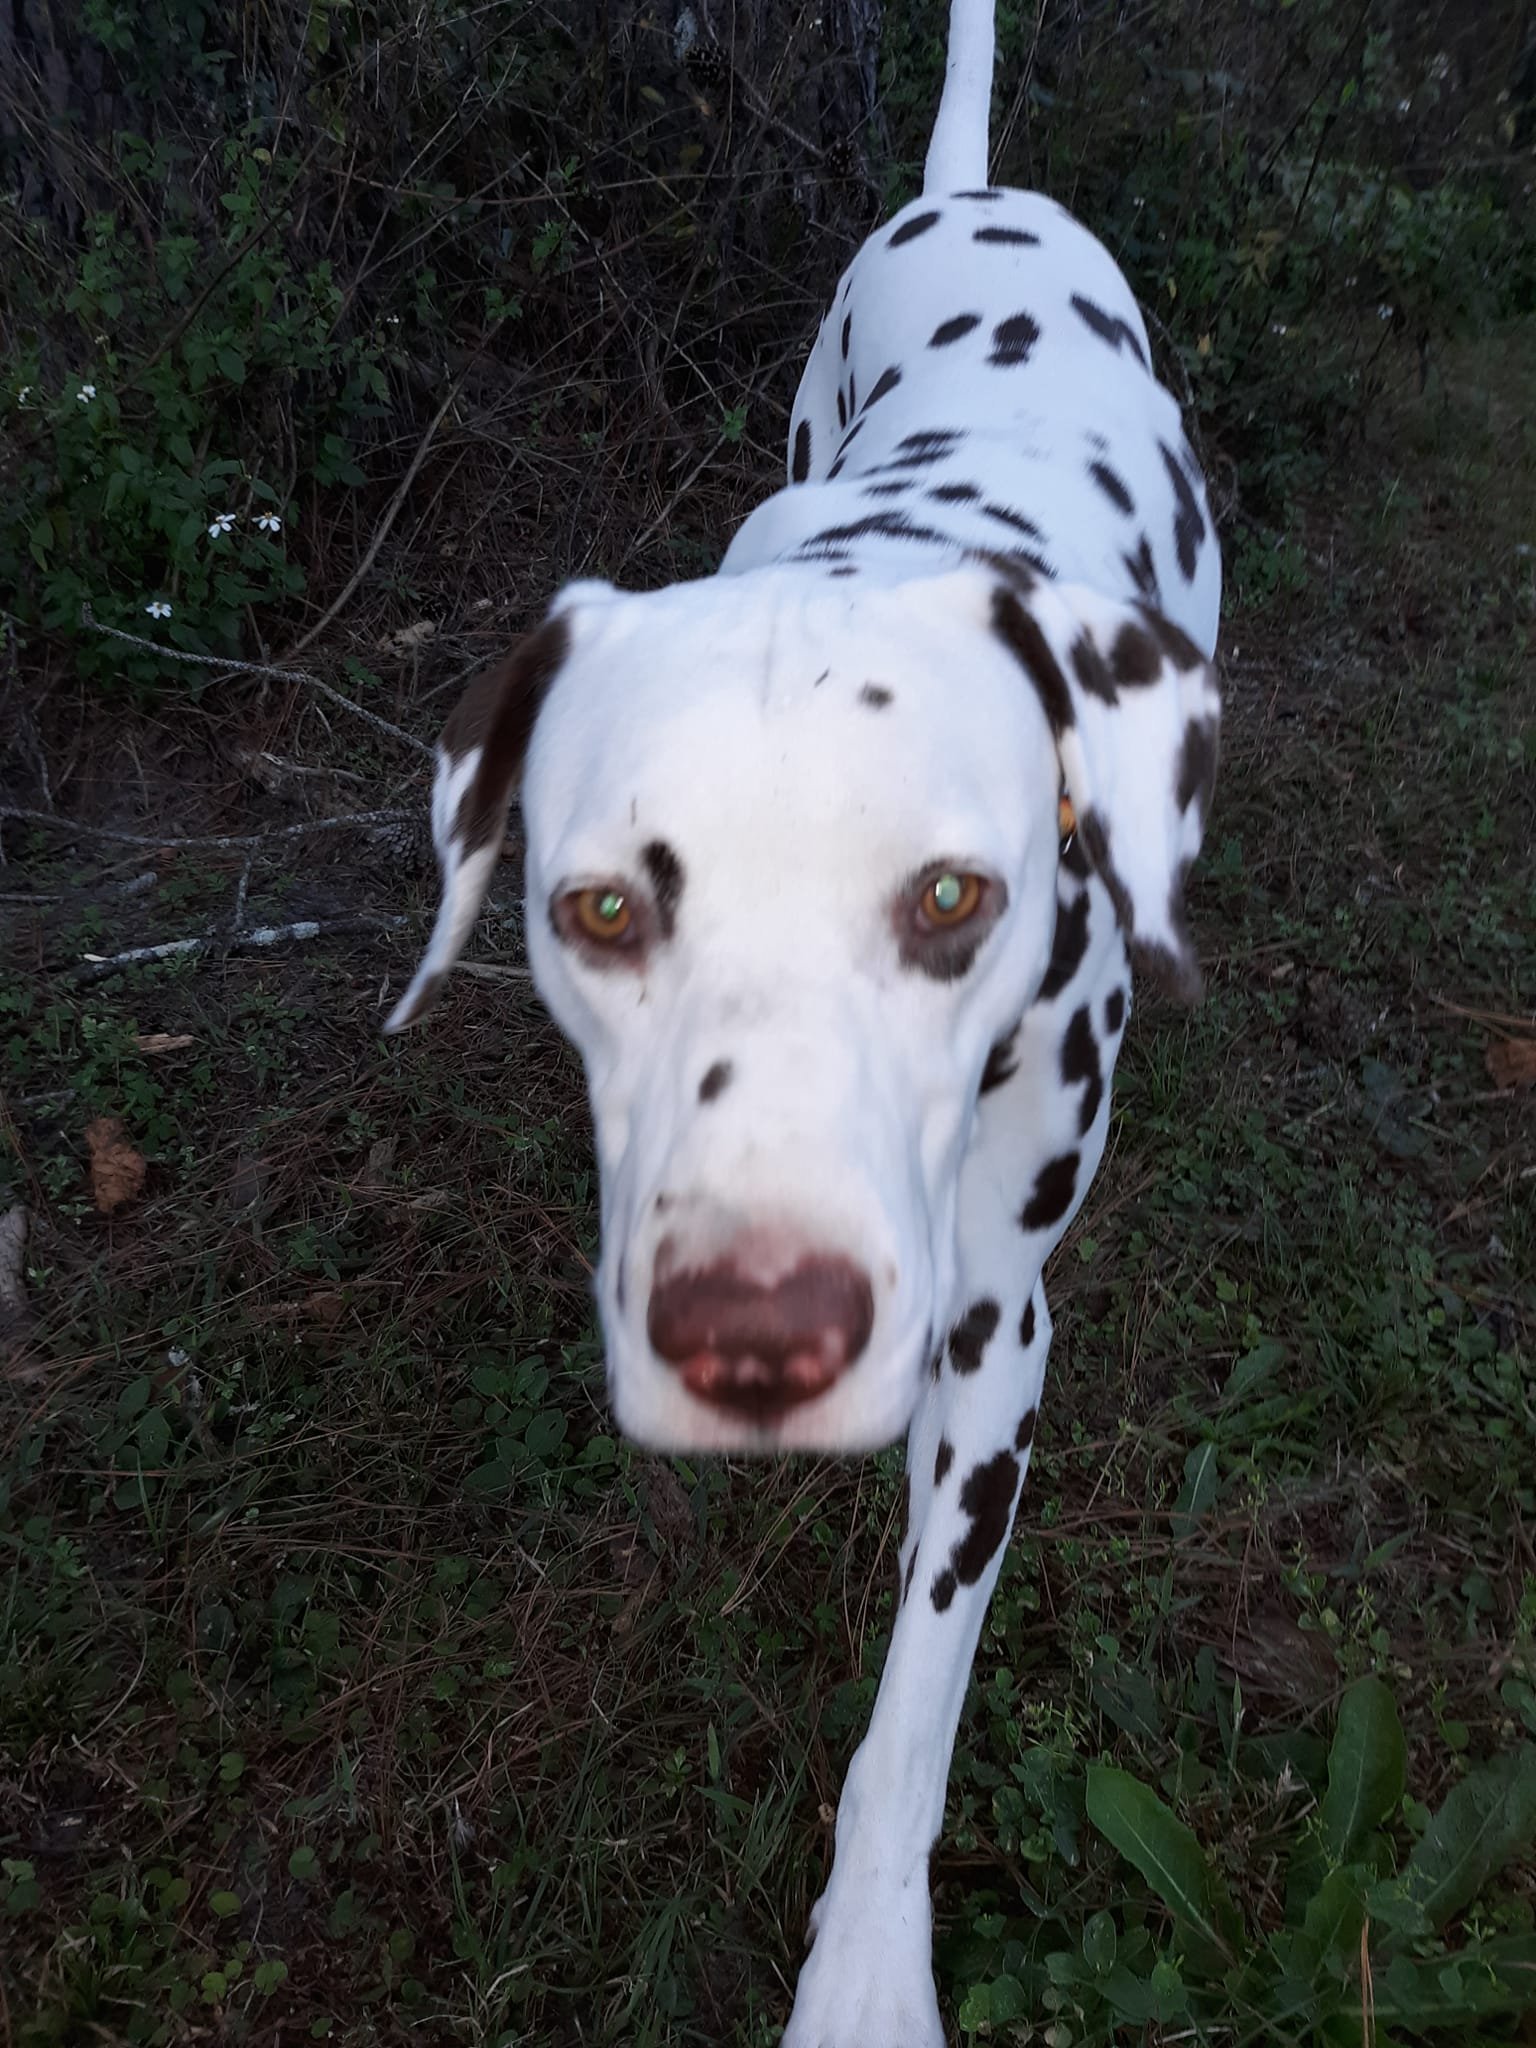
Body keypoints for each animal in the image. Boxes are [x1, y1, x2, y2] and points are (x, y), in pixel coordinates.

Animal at [387, 8, 1228, 2039]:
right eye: (600, 908)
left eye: (951, 900)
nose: (757, 1336)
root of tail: (971, 188)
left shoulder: (996, 1332)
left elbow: (913, 1706)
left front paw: (863, 1971)